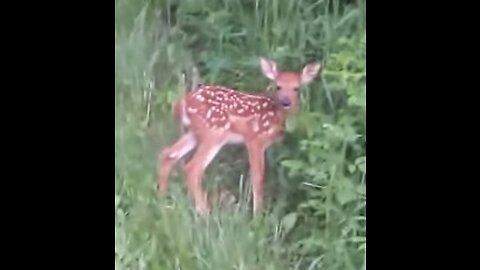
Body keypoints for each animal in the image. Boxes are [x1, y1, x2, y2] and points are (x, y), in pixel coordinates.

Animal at [158, 57, 322, 215]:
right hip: (214, 133)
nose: (286, 102)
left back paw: (163, 200)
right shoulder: (255, 140)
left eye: (297, 88)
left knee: (168, 153)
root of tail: (182, 104)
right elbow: (258, 176)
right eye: (278, 86)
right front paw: (257, 215)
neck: (276, 116)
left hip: (194, 133)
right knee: (192, 168)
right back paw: (204, 214)